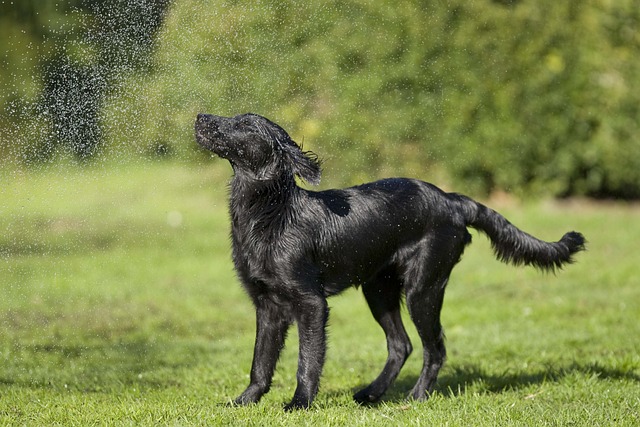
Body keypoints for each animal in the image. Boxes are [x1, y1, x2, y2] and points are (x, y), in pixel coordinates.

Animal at [194, 113, 584, 412]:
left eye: (245, 124)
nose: (201, 116)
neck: (270, 214)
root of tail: (452, 200)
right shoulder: (267, 304)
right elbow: (260, 363)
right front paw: (244, 402)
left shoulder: (311, 304)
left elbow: (307, 361)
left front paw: (299, 404)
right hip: (378, 289)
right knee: (402, 345)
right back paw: (372, 394)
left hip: (422, 289)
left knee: (434, 348)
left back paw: (417, 397)